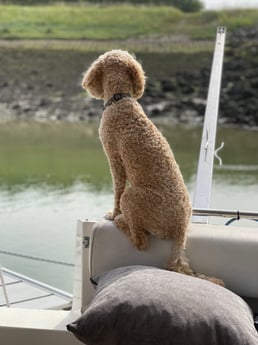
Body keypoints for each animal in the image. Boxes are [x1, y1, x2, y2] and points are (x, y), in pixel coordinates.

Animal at [82, 49, 224, 284]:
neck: (121, 99)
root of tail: (180, 230)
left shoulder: (114, 159)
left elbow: (116, 189)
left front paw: (113, 213)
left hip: (132, 197)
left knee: (141, 241)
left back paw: (121, 220)